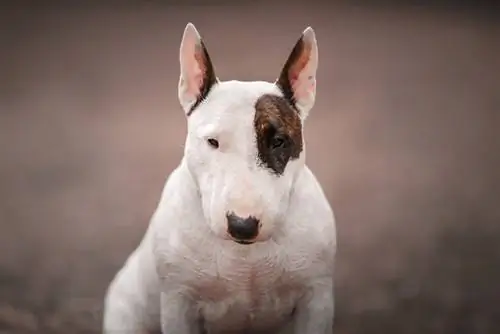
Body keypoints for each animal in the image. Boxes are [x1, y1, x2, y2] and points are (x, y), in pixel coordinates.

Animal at [101, 23, 336, 334]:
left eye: (278, 141)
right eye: (212, 142)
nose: (242, 226)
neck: (245, 259)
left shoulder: (316, 297)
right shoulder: (179, 301)